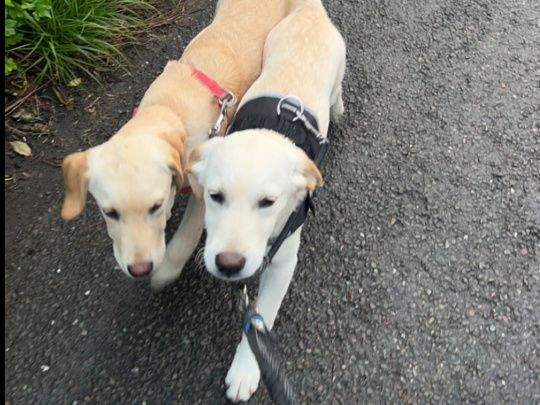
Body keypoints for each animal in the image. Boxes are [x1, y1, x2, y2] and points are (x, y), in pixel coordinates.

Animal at [61, 0, 298, 290]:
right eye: (110, 212)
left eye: (155, 206)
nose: (140, 269)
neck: (169, 108)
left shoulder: (203, 192)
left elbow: (185, 239)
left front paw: (165, 272)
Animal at [186, 0, 346, 400]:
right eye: (214, 196)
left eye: (268, 203)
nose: (229, 265)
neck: (272, 131)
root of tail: (309, 11)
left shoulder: (283, 261)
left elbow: (262, 319)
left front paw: (246, 369)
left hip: (339, 66)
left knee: (337, 92)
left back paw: (337, 110)